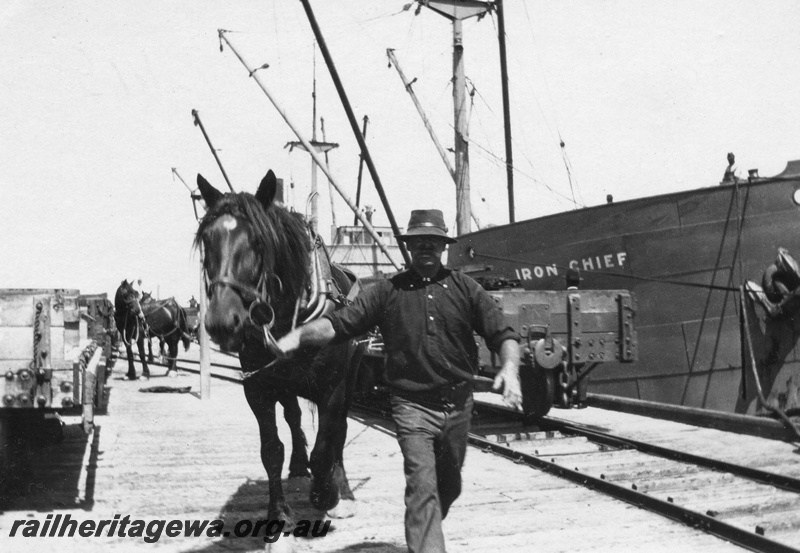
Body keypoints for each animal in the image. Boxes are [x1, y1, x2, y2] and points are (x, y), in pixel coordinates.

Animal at [194, 170, 365, 526]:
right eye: (207, 240)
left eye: (259, 242)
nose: (220, 321)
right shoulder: (258, 386)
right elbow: (271, 449)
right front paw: (279, 510)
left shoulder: (333, 386)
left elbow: (327, 445)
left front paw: (327, 494)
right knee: (293, 415)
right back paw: (299, 464)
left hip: (351, 377)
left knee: (338, 431)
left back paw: (341, 487)